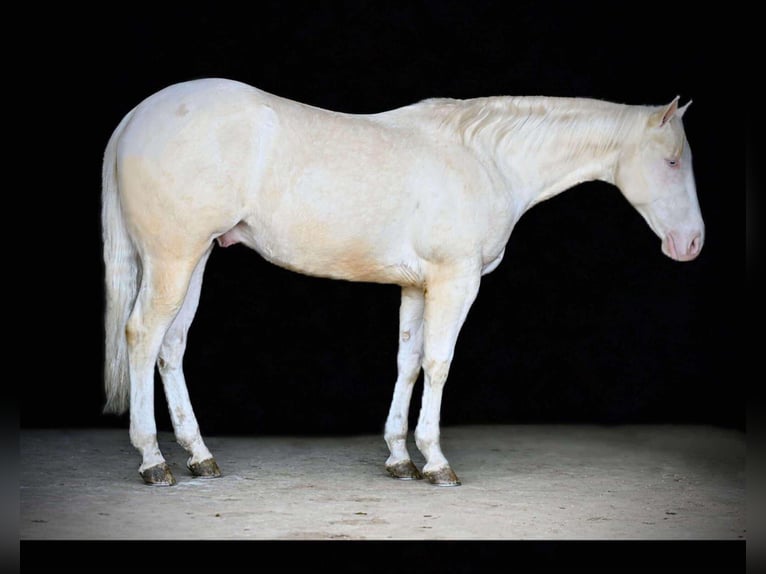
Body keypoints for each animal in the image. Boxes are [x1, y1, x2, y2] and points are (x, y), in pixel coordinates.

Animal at [103, 79, 708, 488]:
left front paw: (399, 457)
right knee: (143, 336)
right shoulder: (455, 281)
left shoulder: (418, 287)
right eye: (673, 161)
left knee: (171, 346)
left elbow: (408, 362)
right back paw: (153, 460)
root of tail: (135, 117)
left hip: (196, 258)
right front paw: (435, 461)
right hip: (174, 258)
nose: (692, 244)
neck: (483, 158)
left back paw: (199, 455)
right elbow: (439, 363)